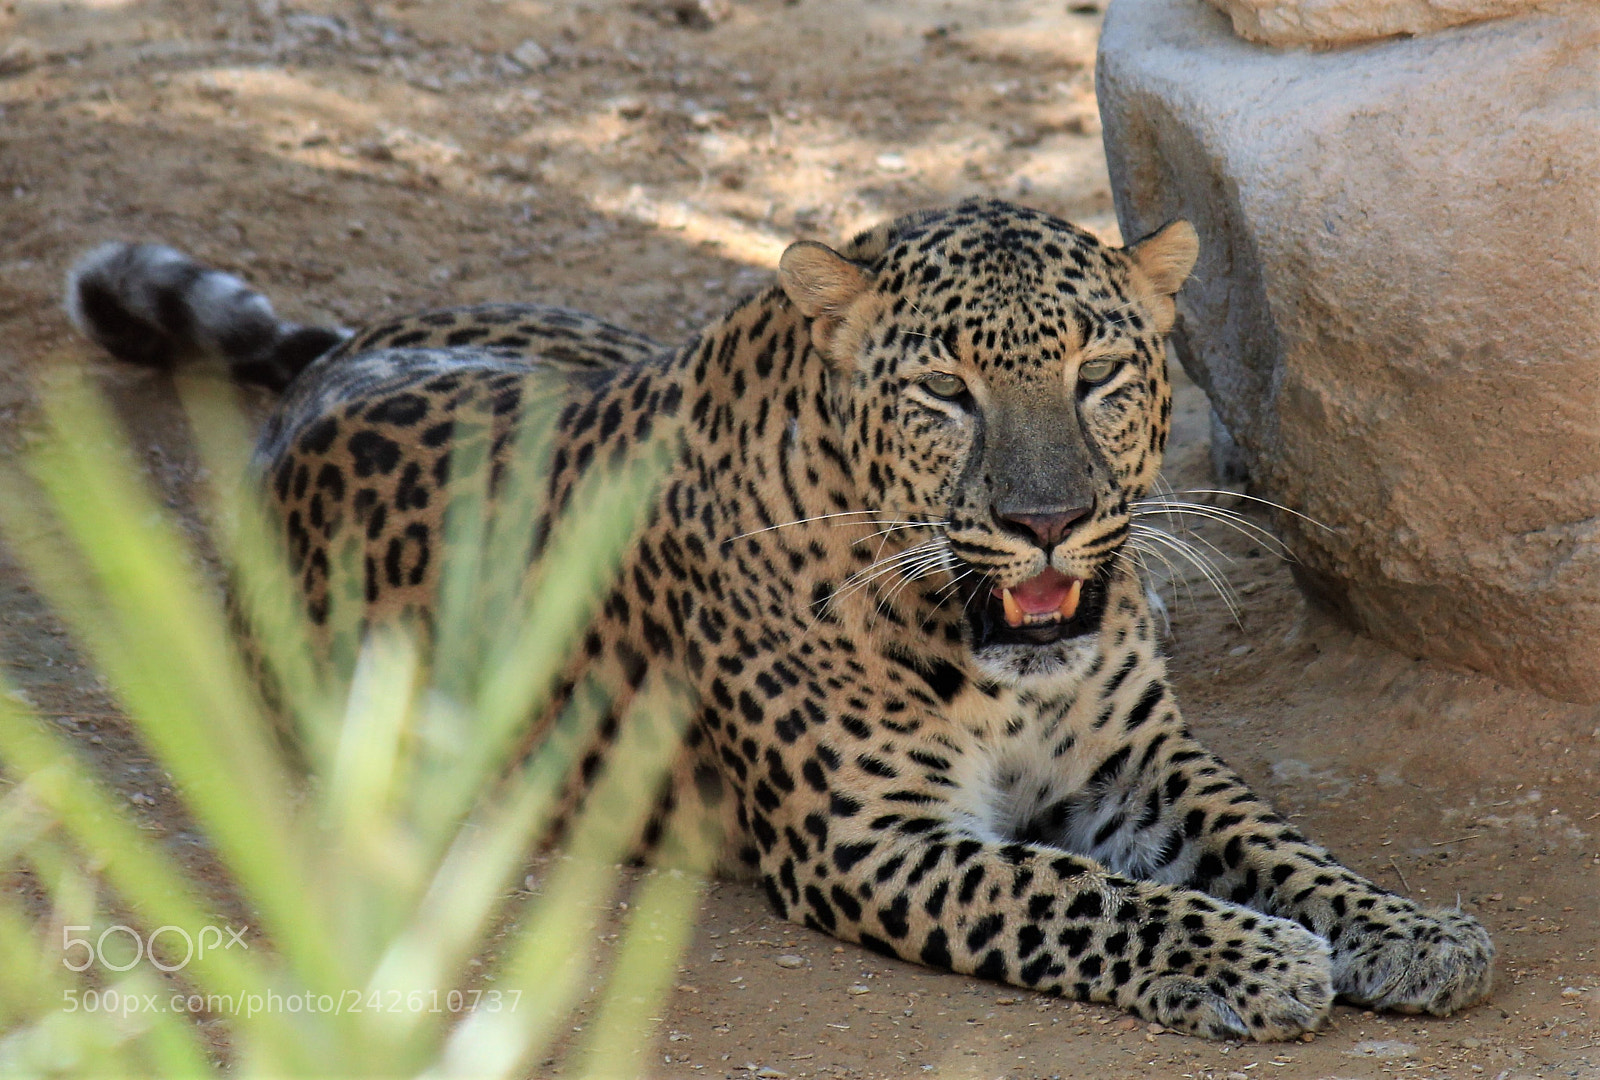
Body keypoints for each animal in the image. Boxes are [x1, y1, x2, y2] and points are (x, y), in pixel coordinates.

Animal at [65, 198, 1493, 1041]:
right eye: (944, 392)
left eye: (1098, 375)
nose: (1045, 520)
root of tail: (341, 358)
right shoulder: (866, 838)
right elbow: (1078, 893)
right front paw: (1257, 964)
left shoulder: (1137, 758)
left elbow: (1273, 839)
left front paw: (1412, 933)